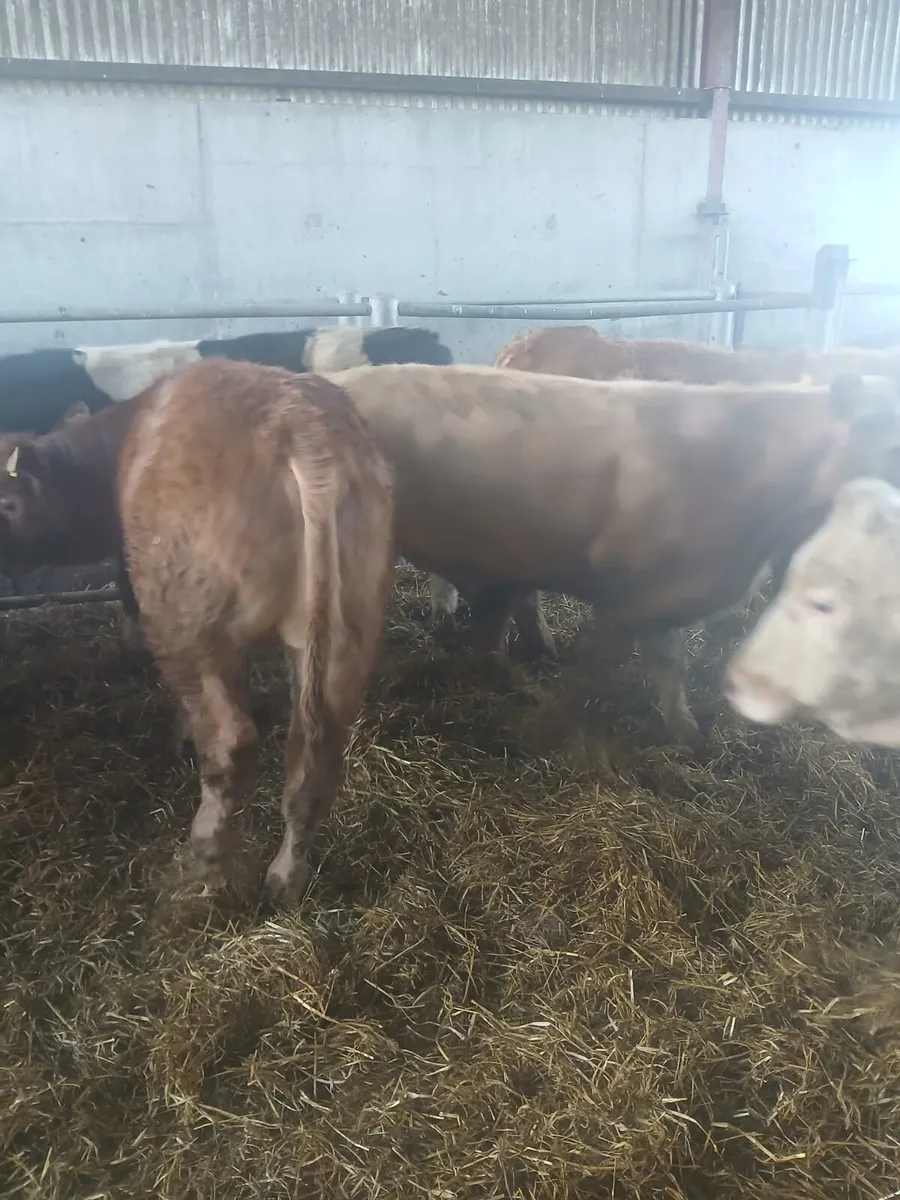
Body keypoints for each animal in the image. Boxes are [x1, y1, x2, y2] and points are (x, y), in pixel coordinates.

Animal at [117, 358, 395, 906]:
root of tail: (303, 430)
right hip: (348, 623)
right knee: (317, 751)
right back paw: (285, 880)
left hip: (192, 626)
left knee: (232, 742)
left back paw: (203, 860)